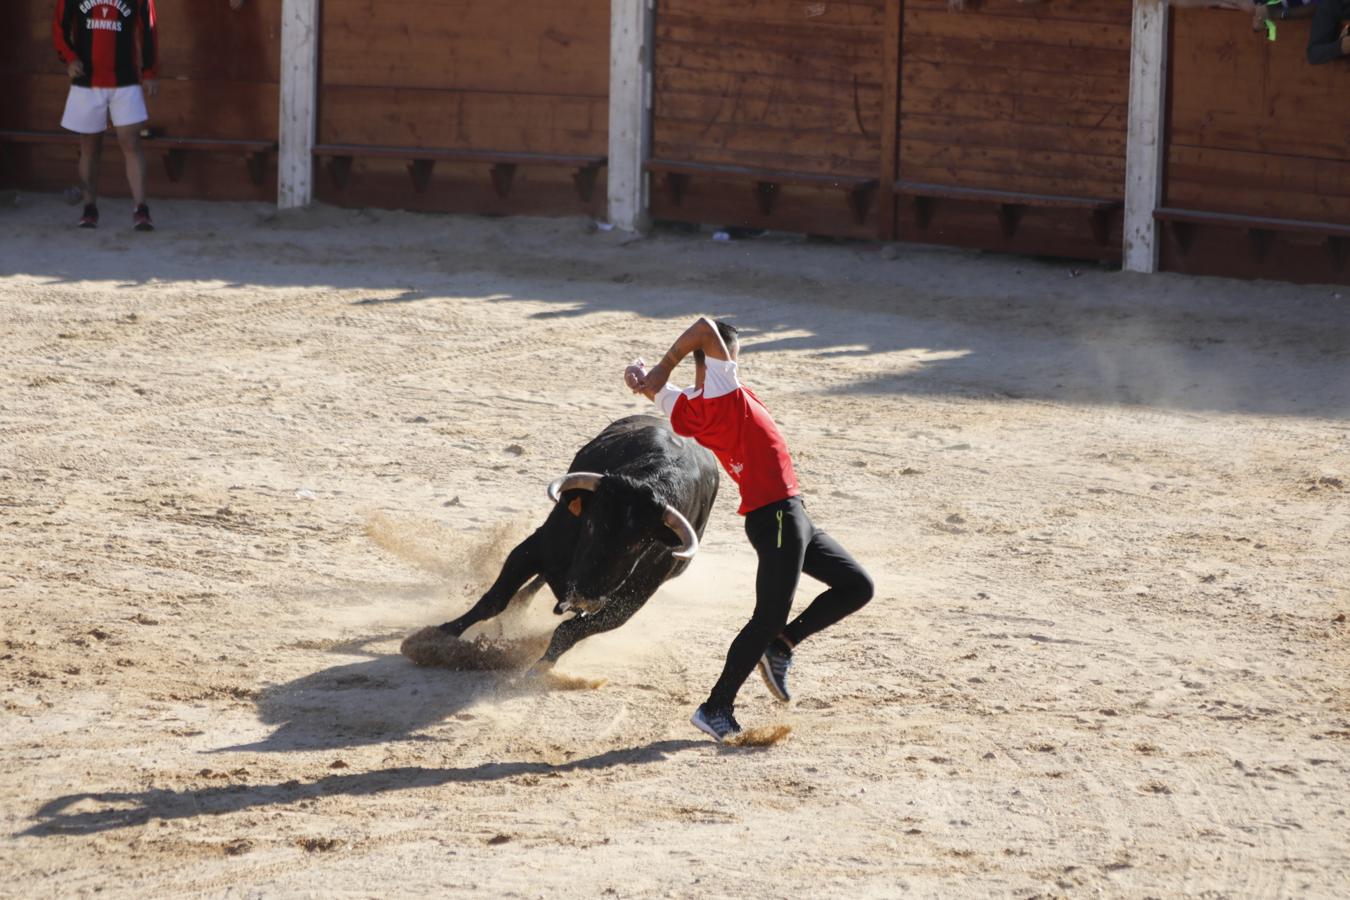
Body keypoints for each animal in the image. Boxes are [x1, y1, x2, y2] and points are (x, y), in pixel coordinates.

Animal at [440, 418, 718, 666]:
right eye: (591, 524)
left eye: (640, 544)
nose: (587, 598)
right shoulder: (535, 547)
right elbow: (495, 599)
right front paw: (440, 635)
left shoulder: (630, 602)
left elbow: (569, 631)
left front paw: (540, 669)